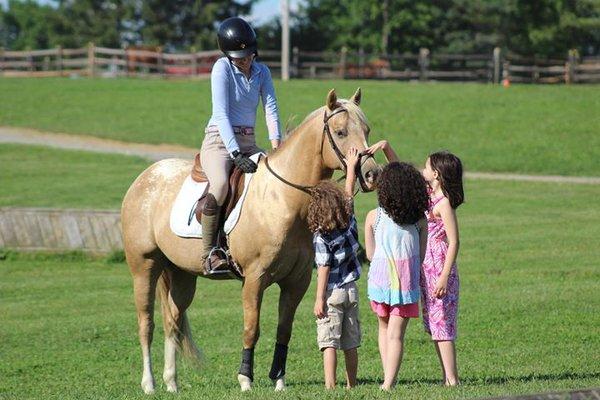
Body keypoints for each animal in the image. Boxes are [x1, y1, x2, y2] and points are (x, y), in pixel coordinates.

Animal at [121, 88, 380, 394]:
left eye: (366, 130)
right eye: (340, 132)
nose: (371, 174)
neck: (282, 199)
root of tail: (144, 178)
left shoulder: (297, 281)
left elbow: (284, 330)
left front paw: (279, 379)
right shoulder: (254, 279)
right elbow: (251, 328)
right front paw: (245, 378)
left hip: (182, 274)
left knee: (172, 321)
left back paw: (172, 383)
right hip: (144, 268)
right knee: (146, 323)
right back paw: (149, 384)